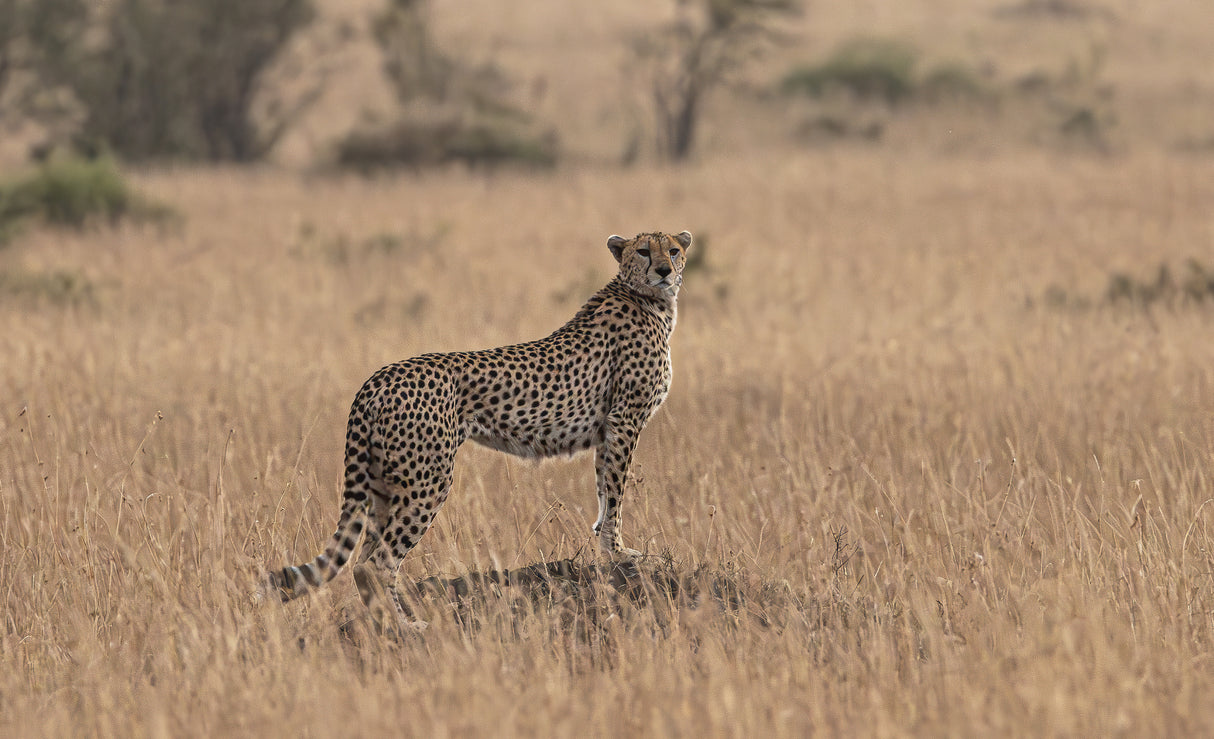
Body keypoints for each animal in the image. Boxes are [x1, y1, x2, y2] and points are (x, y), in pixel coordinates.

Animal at [261, 230, 694, 628]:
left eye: (673, 250)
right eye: (644, 251)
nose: (663, 271)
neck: (648, 299)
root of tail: (379, 376)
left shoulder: (609, 429)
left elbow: (604, 488)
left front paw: (606, 543)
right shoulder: (624, 420)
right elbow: (616, 491)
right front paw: (618, 552)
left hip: (384, 484)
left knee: (362, 558)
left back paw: (385, 625)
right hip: (428, 481)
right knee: (377, 563)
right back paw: (407, 627)